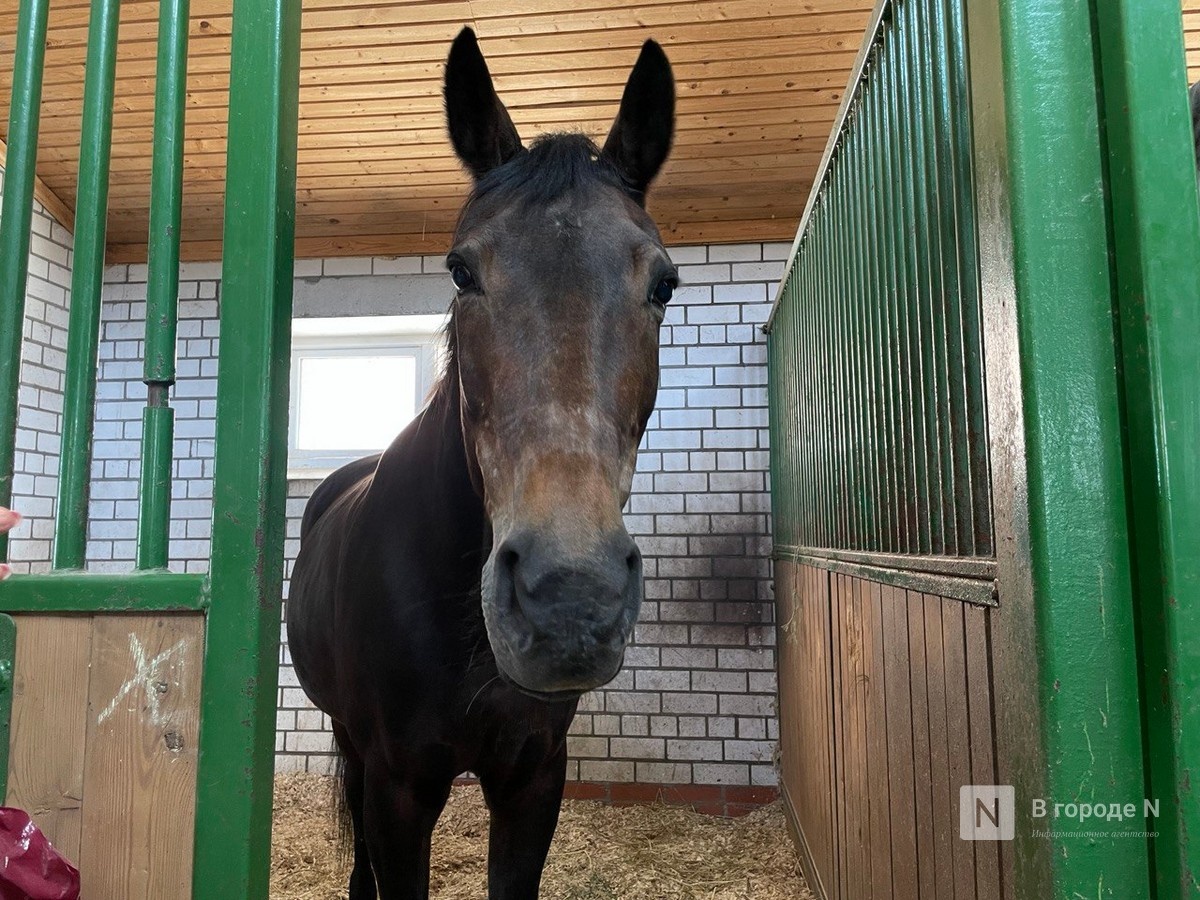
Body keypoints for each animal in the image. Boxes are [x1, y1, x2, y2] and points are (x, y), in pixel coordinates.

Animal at [282, 28, 676, 900]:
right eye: (462, 272)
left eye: (664, 284)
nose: (569, 602)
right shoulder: (399, 788)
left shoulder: (532, 776)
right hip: (351, 744)